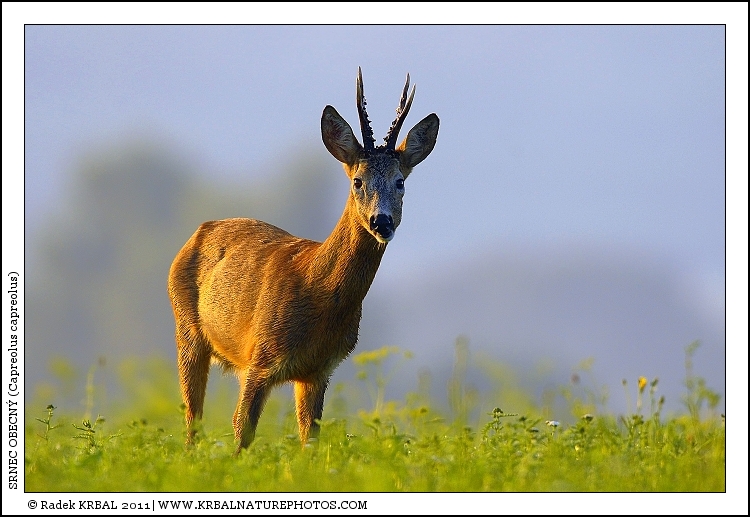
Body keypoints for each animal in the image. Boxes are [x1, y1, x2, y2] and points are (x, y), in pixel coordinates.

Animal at [167, 68, 439, 455]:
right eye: (358, 181)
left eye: (400, 182)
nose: (381, 223)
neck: (316, 290)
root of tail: (199, 230)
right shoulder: (260, 357)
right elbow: (241, 429)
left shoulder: (319, 370)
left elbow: (309, 439)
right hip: (187, 332)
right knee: (193, 418)